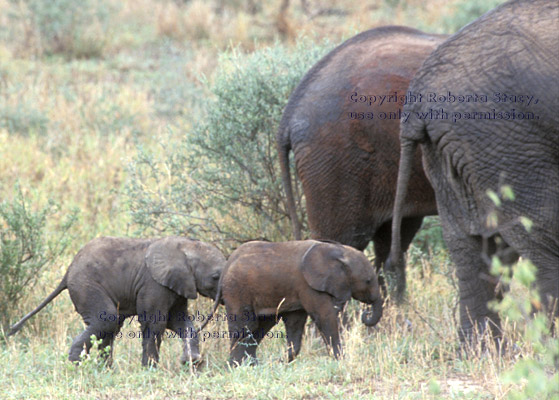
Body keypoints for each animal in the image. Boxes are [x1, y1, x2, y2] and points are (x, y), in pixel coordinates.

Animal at [7, 236, 225, 368]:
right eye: (215, 277)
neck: (185, 246)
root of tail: (68, 271)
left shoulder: (178, 286)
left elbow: (180, 322)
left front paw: (191, 361)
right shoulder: (154, 285)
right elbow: (155, 323)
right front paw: (150, 368)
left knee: (109, 326)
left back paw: (104, 369)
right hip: (86, 285)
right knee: (108, 320)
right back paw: (77, 364)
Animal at [206, 239, 384, 364]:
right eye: (368, 281)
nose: (366, 314)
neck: (337, 250)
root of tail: (227, 265)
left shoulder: (298, 291)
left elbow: (295, 323)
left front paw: (279, 362)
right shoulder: (308, 286)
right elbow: (324, 316)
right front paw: (341, 360)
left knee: (260, 326)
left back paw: (252, 364)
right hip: (237, 289)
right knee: (245, 326)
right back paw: (237, 365)